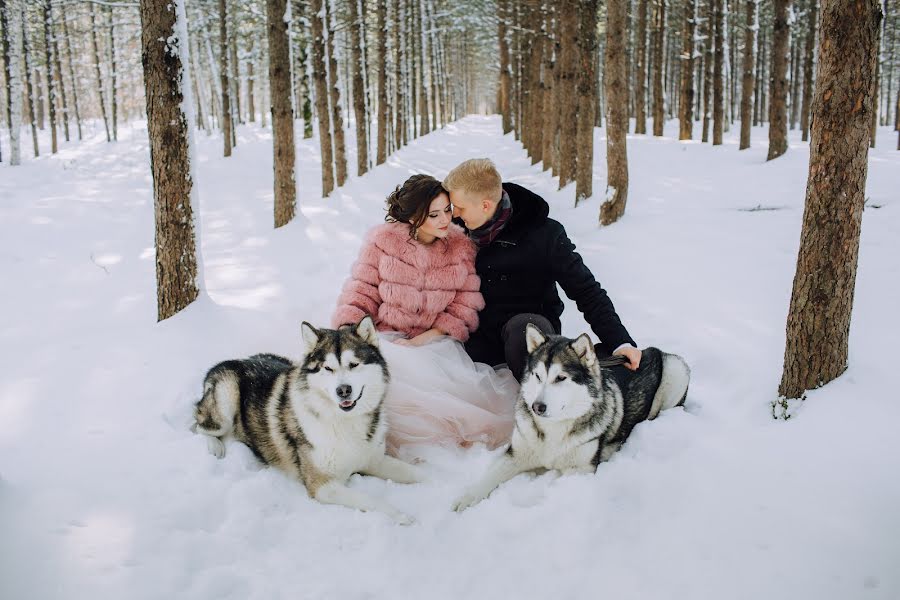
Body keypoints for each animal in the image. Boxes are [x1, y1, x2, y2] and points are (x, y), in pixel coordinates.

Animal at [192, 316, 422, 524]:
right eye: (328, 368)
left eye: (354, 364)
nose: (343, 390)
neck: (343, 421)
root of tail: (229, 362)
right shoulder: (322, 486)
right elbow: (370, 499)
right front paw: (400, 514)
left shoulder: (374, 460)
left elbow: (416, 473)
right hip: (226, 401)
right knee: (198, 424)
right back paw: (215, 446)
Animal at [454, 324, 692, 510]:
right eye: (537, 376)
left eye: (561, 378)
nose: (537, 407)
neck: (554, 428)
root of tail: (652, 350)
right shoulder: (516, 454)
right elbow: (489, 476)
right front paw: (466, 498)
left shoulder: (580, 471)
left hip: (676, 370)